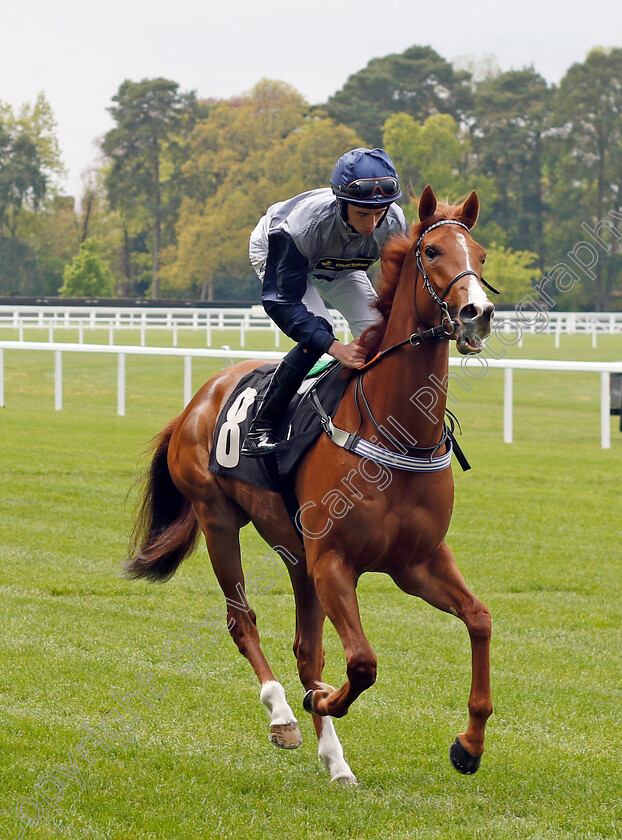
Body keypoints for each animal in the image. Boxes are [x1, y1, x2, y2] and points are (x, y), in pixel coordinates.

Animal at [128, 187, 498, 784]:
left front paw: (469, 744)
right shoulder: (334, 561)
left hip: (294, 550)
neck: (395, 434)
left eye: (481, 255)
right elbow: (363, 663)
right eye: (433, 250)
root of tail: (199, 398)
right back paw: (283, 714)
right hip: (219, 520)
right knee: (243, 622)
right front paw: (319, 700)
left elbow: (480, 619)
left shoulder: (417, 562)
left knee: (307, 648)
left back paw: (335, 759)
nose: (477, 314)